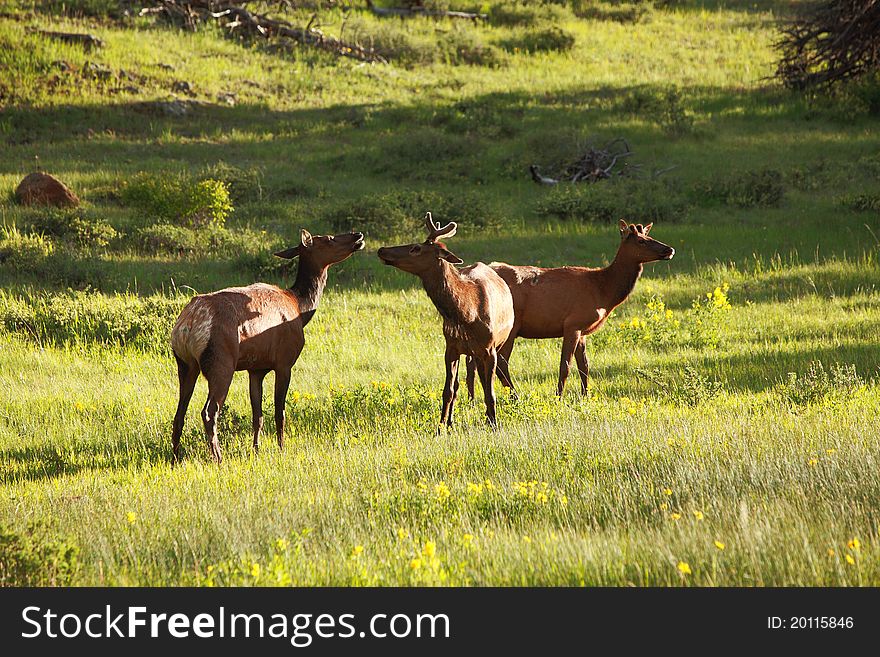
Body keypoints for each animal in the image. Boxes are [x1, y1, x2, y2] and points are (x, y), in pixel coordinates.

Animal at [168, 229, 364, 462]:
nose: (358, 235)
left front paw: (256, 449)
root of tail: (187, 325)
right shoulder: (285, 362)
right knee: (209, 411)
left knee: (179, 413)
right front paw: (281, 448)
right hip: (221, 361)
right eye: (328, 238)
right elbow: (280, 412)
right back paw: (218, 457)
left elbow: (258, 415)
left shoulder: (256, 368)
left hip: (185, 363)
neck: (300, 308)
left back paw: (175, 457)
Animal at [374, 213, 512, 430]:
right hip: (469, 352)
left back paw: (488, 418)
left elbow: (490, 393)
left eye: (416, 248)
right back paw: (453, 421)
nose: (382, 249)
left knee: (486, 381)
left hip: (494, 346)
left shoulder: (490, 348)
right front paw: (441, 427)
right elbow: (448, 390)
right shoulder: (451, 347)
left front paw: (494, 424)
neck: (468, 313)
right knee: (464, 383)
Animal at [468, 219, 672, 394]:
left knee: (474, 362)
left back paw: (473, 400)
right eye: (641, 241)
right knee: (501, 363)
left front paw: (585, 396)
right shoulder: (573, 323)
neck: (603, 291)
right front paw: (559, 397)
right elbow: (565, 366)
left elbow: (585, 366)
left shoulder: (582, 329)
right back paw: (514, 397)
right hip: (510, 326)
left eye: (649, 236)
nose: (670, 249)